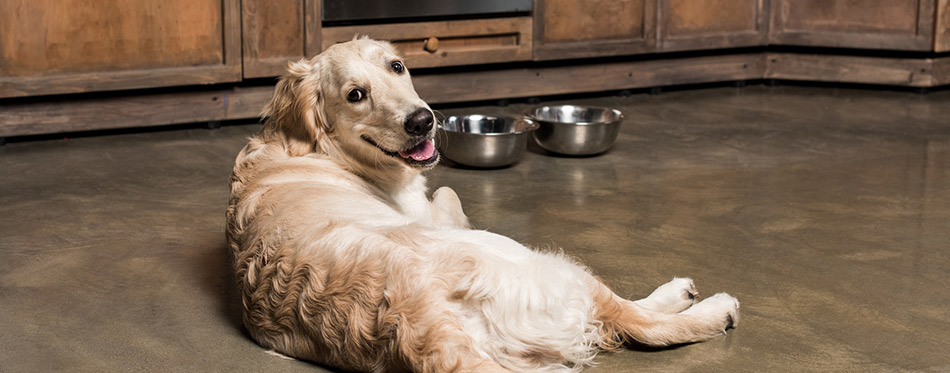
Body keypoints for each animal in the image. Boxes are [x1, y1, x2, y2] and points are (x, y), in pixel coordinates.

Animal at [227, 39, 740, 370]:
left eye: (397, 66)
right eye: (356, 95)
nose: (422, 121)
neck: (312, 147)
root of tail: (422, 326)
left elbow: (447, 191)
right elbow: (448, 193)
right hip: (534, 260)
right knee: (638, 319)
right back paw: (706, 305)